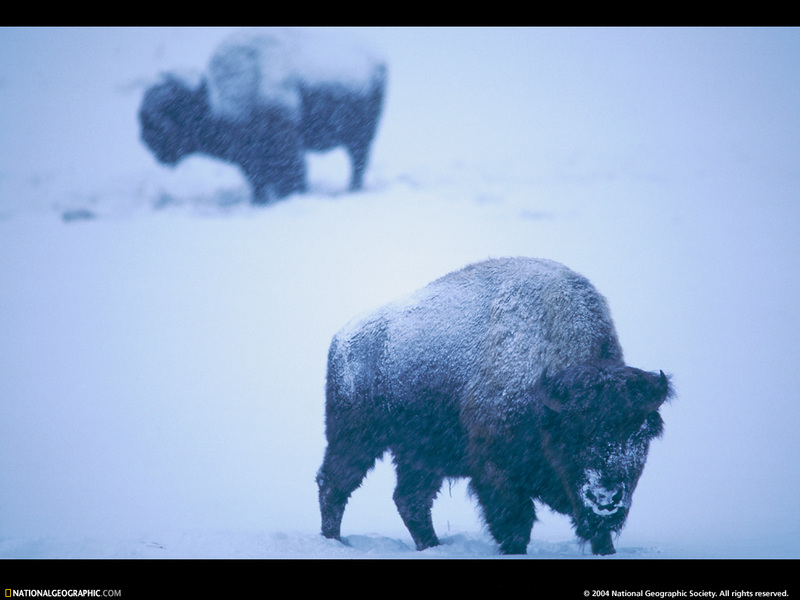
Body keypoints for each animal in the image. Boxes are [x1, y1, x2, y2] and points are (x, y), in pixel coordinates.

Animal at [138, 27, 388, 204]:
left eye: (156, 122)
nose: (145, 140)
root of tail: (377, 59)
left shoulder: (285, 145)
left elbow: (293, 175)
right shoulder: (248, 158)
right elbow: (258, 181)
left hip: (361, 137)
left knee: (358, 162)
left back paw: (352, 189)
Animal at [316, 255, 672, 556]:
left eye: (639, 434)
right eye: (574, 433)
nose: (606, 497)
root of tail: (341, 340)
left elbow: (599, 536)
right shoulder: (498, 474)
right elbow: (515, 526)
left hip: (420, 455)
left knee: (410, 499)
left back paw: (432, 546)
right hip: (356, 438)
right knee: (334, 485)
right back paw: (334, 542)